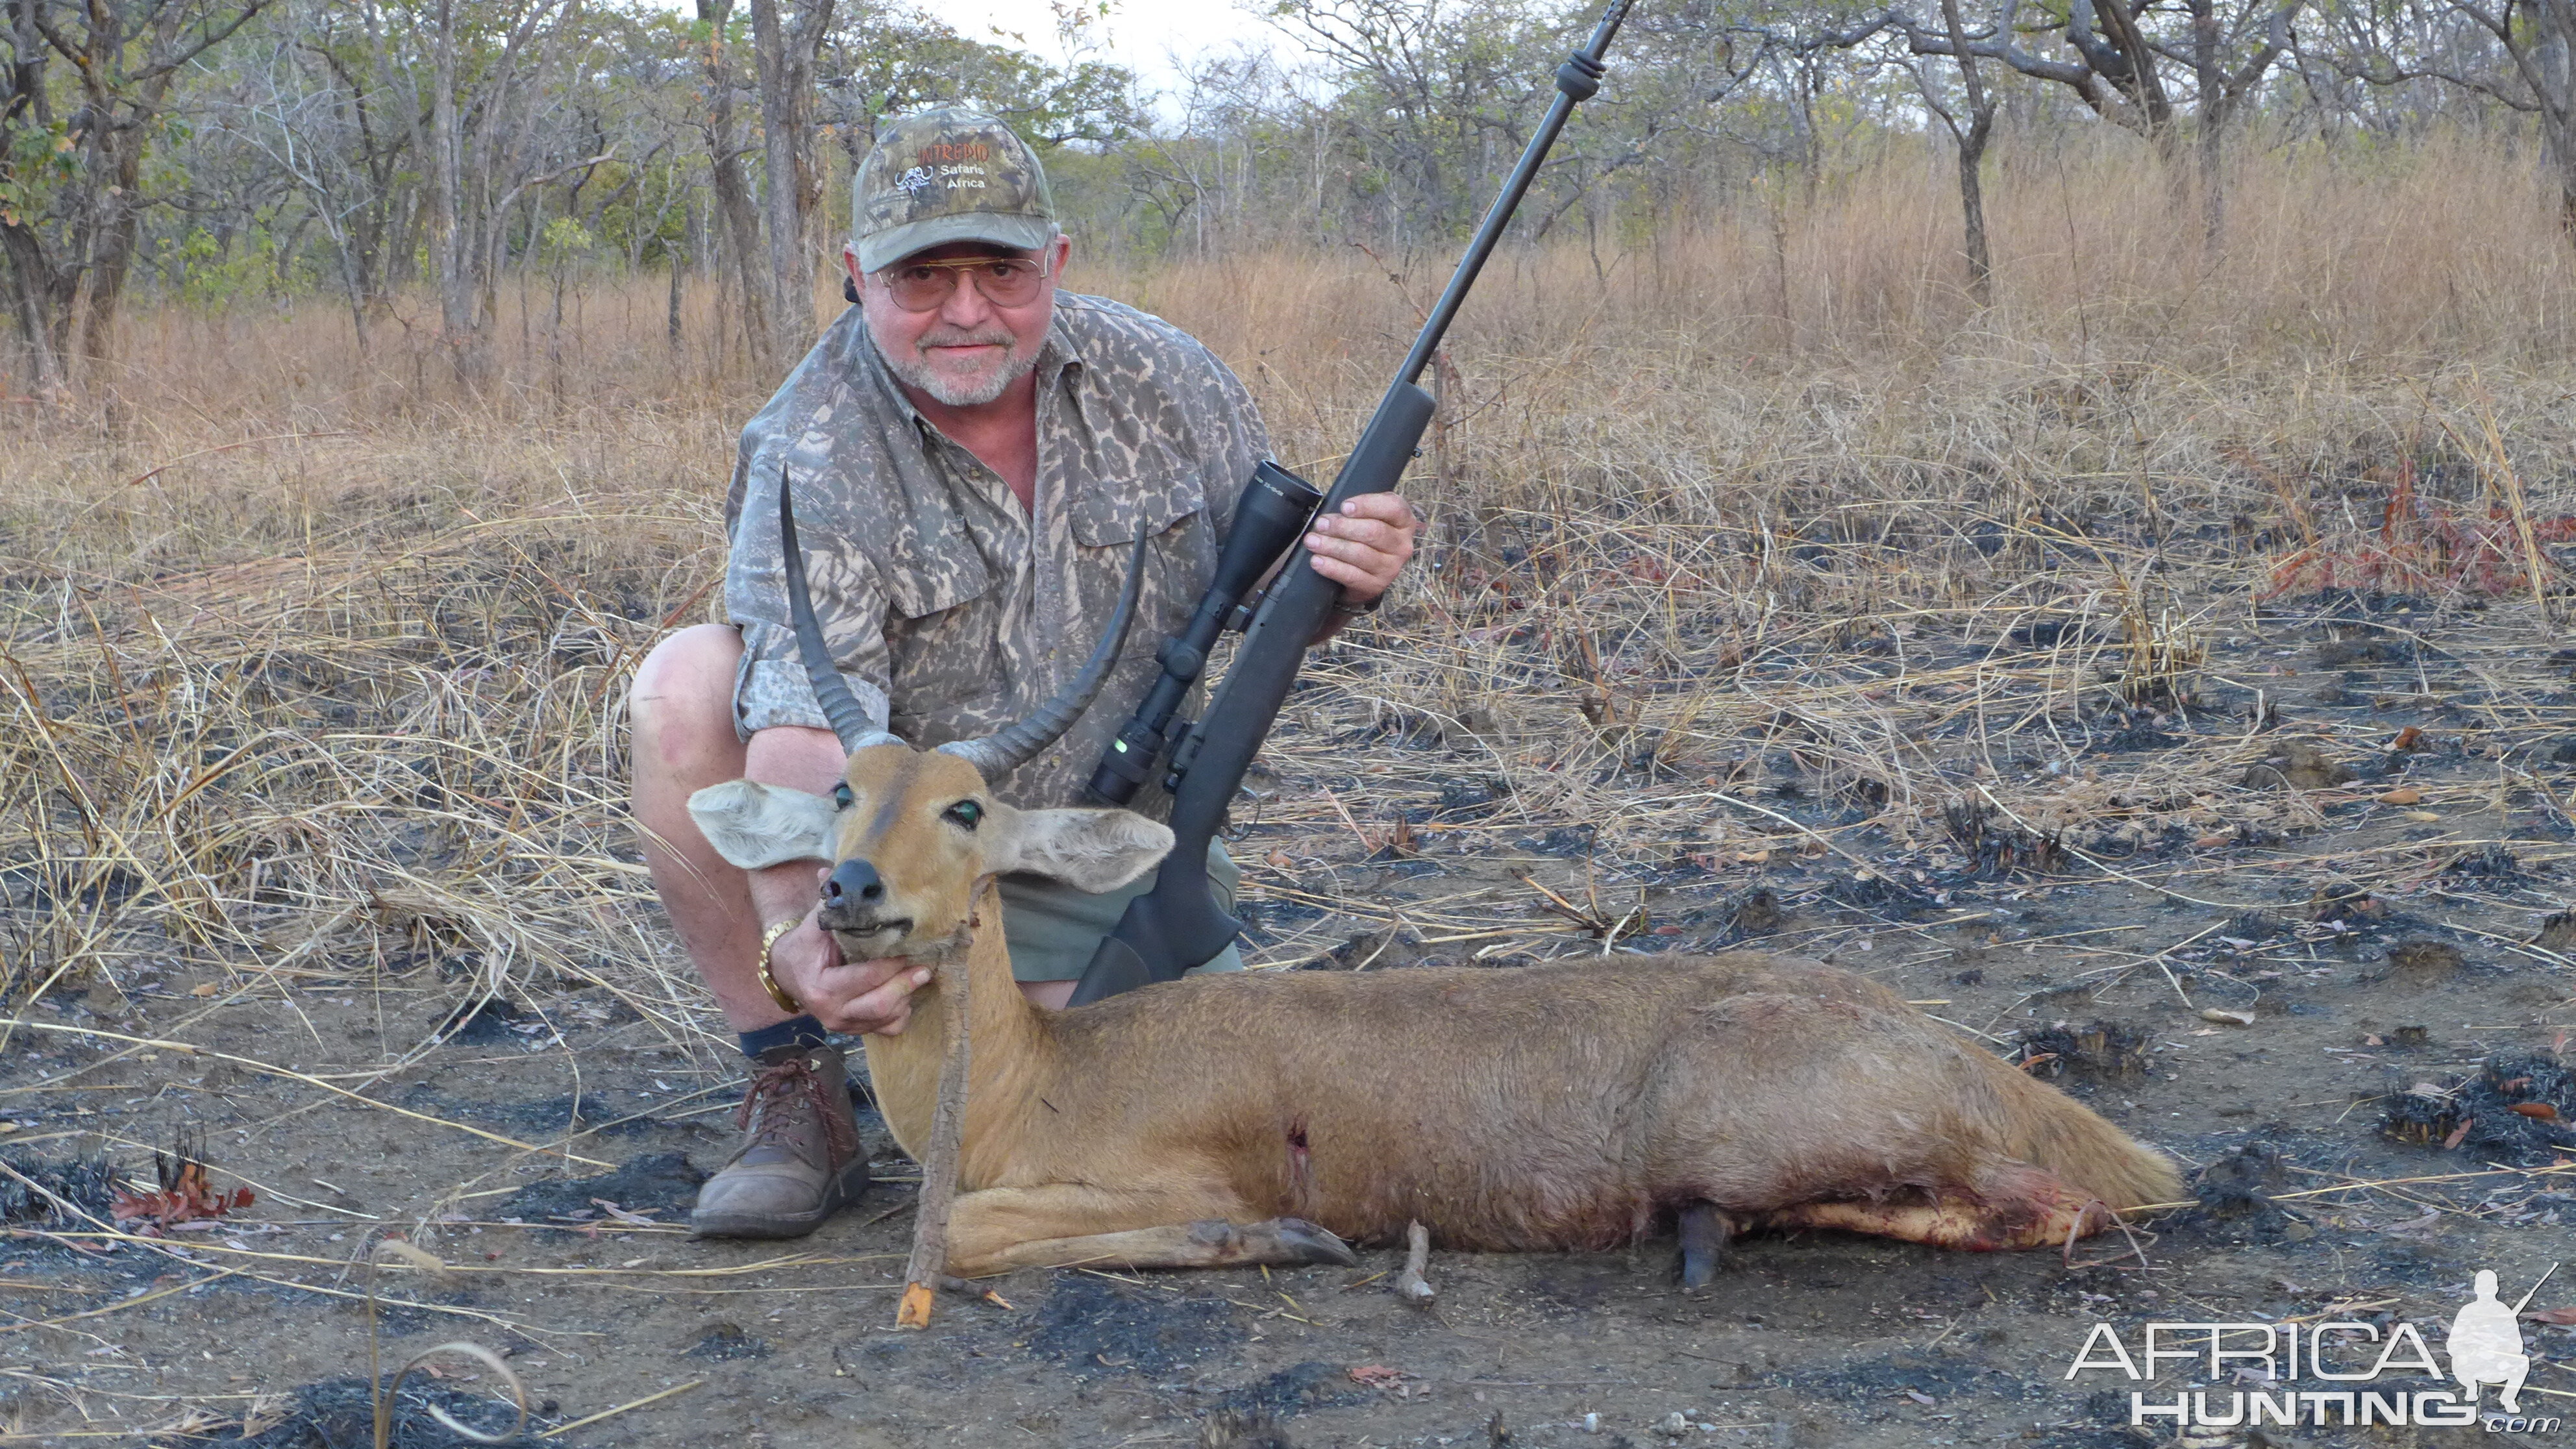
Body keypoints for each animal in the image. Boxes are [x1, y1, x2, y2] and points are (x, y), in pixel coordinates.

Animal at [695, 492, 2184, 1273]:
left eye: (967, 806)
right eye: (844, 789)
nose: (847, 895)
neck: (1042, 1077)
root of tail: (1965, 1057)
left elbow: (955, 1230)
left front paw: (1282, 1243)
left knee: (2052, 1207)